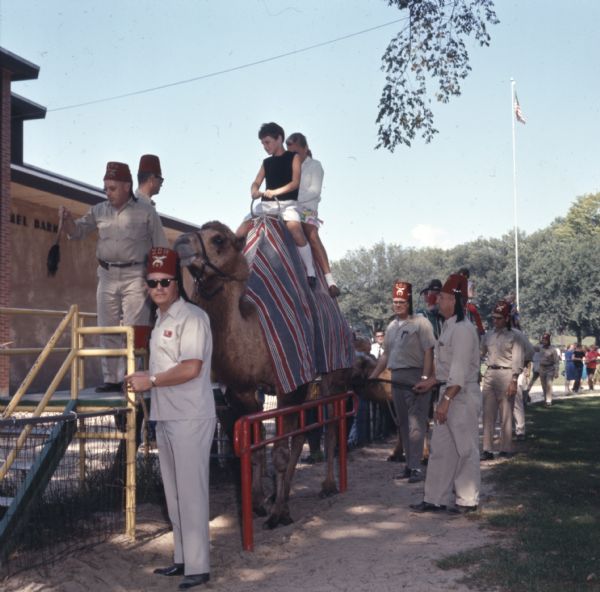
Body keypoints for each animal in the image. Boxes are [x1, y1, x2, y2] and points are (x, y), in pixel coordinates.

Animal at [173, 220, 352, 528]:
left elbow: (280, 451)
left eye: (218, 239)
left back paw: (327, 486)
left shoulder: (289, 384)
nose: (181, 243)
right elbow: (256, 450)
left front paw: (279, 513)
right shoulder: (244, 390)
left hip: (332, 373)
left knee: (328, 426)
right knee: (302, 436)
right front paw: (257, 502)